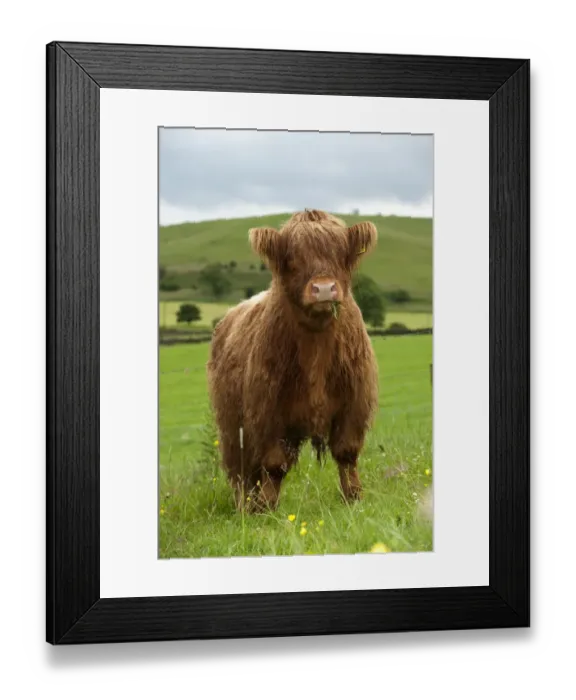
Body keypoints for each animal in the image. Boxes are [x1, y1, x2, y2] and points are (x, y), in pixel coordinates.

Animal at [207, 209, 379, 512]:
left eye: (340, 253)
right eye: (293, 256)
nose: (324, 289)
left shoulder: (354, 402)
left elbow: (347, 453)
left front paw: (353, 498)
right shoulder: (268, 412)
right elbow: (274, 464)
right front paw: (267, 509)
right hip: (231, 423)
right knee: (240, 469)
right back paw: (245, 508)